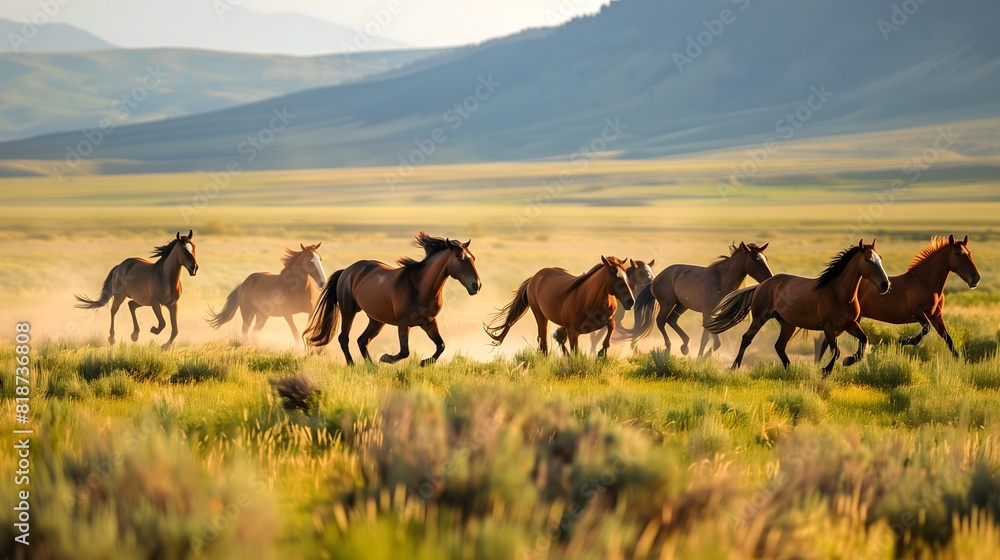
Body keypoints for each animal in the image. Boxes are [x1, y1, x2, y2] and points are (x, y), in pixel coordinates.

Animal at [304, 232, 481, 366]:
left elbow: (441, 345)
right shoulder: (403, 323)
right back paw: (352, 365)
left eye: (473, 258)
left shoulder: (429, 321)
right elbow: (405, 351)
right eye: (459, 257)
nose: (476, 285)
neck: (419, 286)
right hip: (348, 311)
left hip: (376, 319)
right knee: (344, 338)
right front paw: (386, 358)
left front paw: (424, 362)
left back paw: (372, 367)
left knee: (362, 340)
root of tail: (347, 270)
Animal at [484, 256, 636, 357]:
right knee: (543, 340)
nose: (631, 302)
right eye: (616, 277)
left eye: (626, 277)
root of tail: (534, 278)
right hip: (540, 315)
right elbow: (575, 351)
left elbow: (611, 327)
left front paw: (602, 353)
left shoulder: (604, 321)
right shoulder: (573, 331)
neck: (590, 300)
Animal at [622, 242, 772, 356]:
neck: (721, 280)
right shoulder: (707, 311)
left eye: (765, 258)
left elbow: (712, 337)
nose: (769, 278)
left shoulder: (714, 312)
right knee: (661, 321)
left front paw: (705, 355)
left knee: (672, 319)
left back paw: (685, 346)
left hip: (682, 305)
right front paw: (700, 358)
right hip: (667, 304)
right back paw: (669, 347)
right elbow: (706, 337)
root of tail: (655, 279)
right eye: (755, 259)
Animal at [705, 240, 890, 376]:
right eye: (867, 260)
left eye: (880, 258)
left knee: (779, 346)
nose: (884, 284)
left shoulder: (850, 325)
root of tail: (763, 284)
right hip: (760, 318)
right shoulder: (829, 327)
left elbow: (864, 341)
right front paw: (826, 370)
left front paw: (849, 360)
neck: (839, 293)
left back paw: (790, 368)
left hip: (788, 324)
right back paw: (734, 367)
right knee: (747, 339)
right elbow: (836, 351)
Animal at [816, 235, 981, 360]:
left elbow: (948, 339)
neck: (925, 282)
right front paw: (904, 341)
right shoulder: (918, 312)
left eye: (970, 253)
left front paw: (960, 362)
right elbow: (926, 329)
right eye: (958, 254)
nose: (976, 278)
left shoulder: (936, 316)